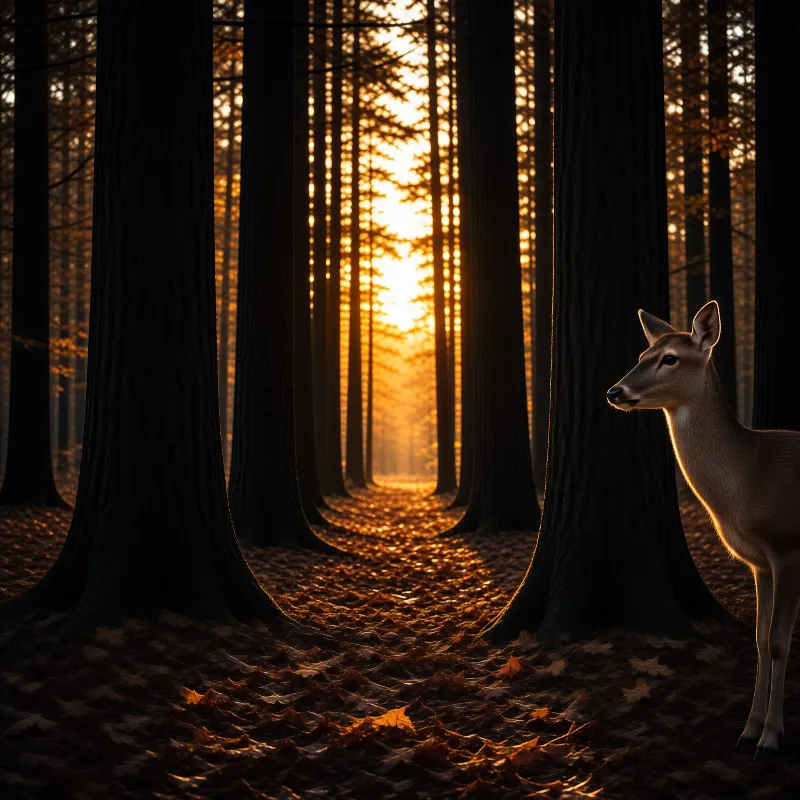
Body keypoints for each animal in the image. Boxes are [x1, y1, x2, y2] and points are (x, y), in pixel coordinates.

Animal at [607, 300, 800, 760]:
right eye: (642, 354)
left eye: (670, 358)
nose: (614, 392)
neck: (751, 479)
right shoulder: (759, 563)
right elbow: (760, 640)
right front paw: (748, 730)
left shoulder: (787, 547)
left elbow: (779, 642)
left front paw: (771, 737)